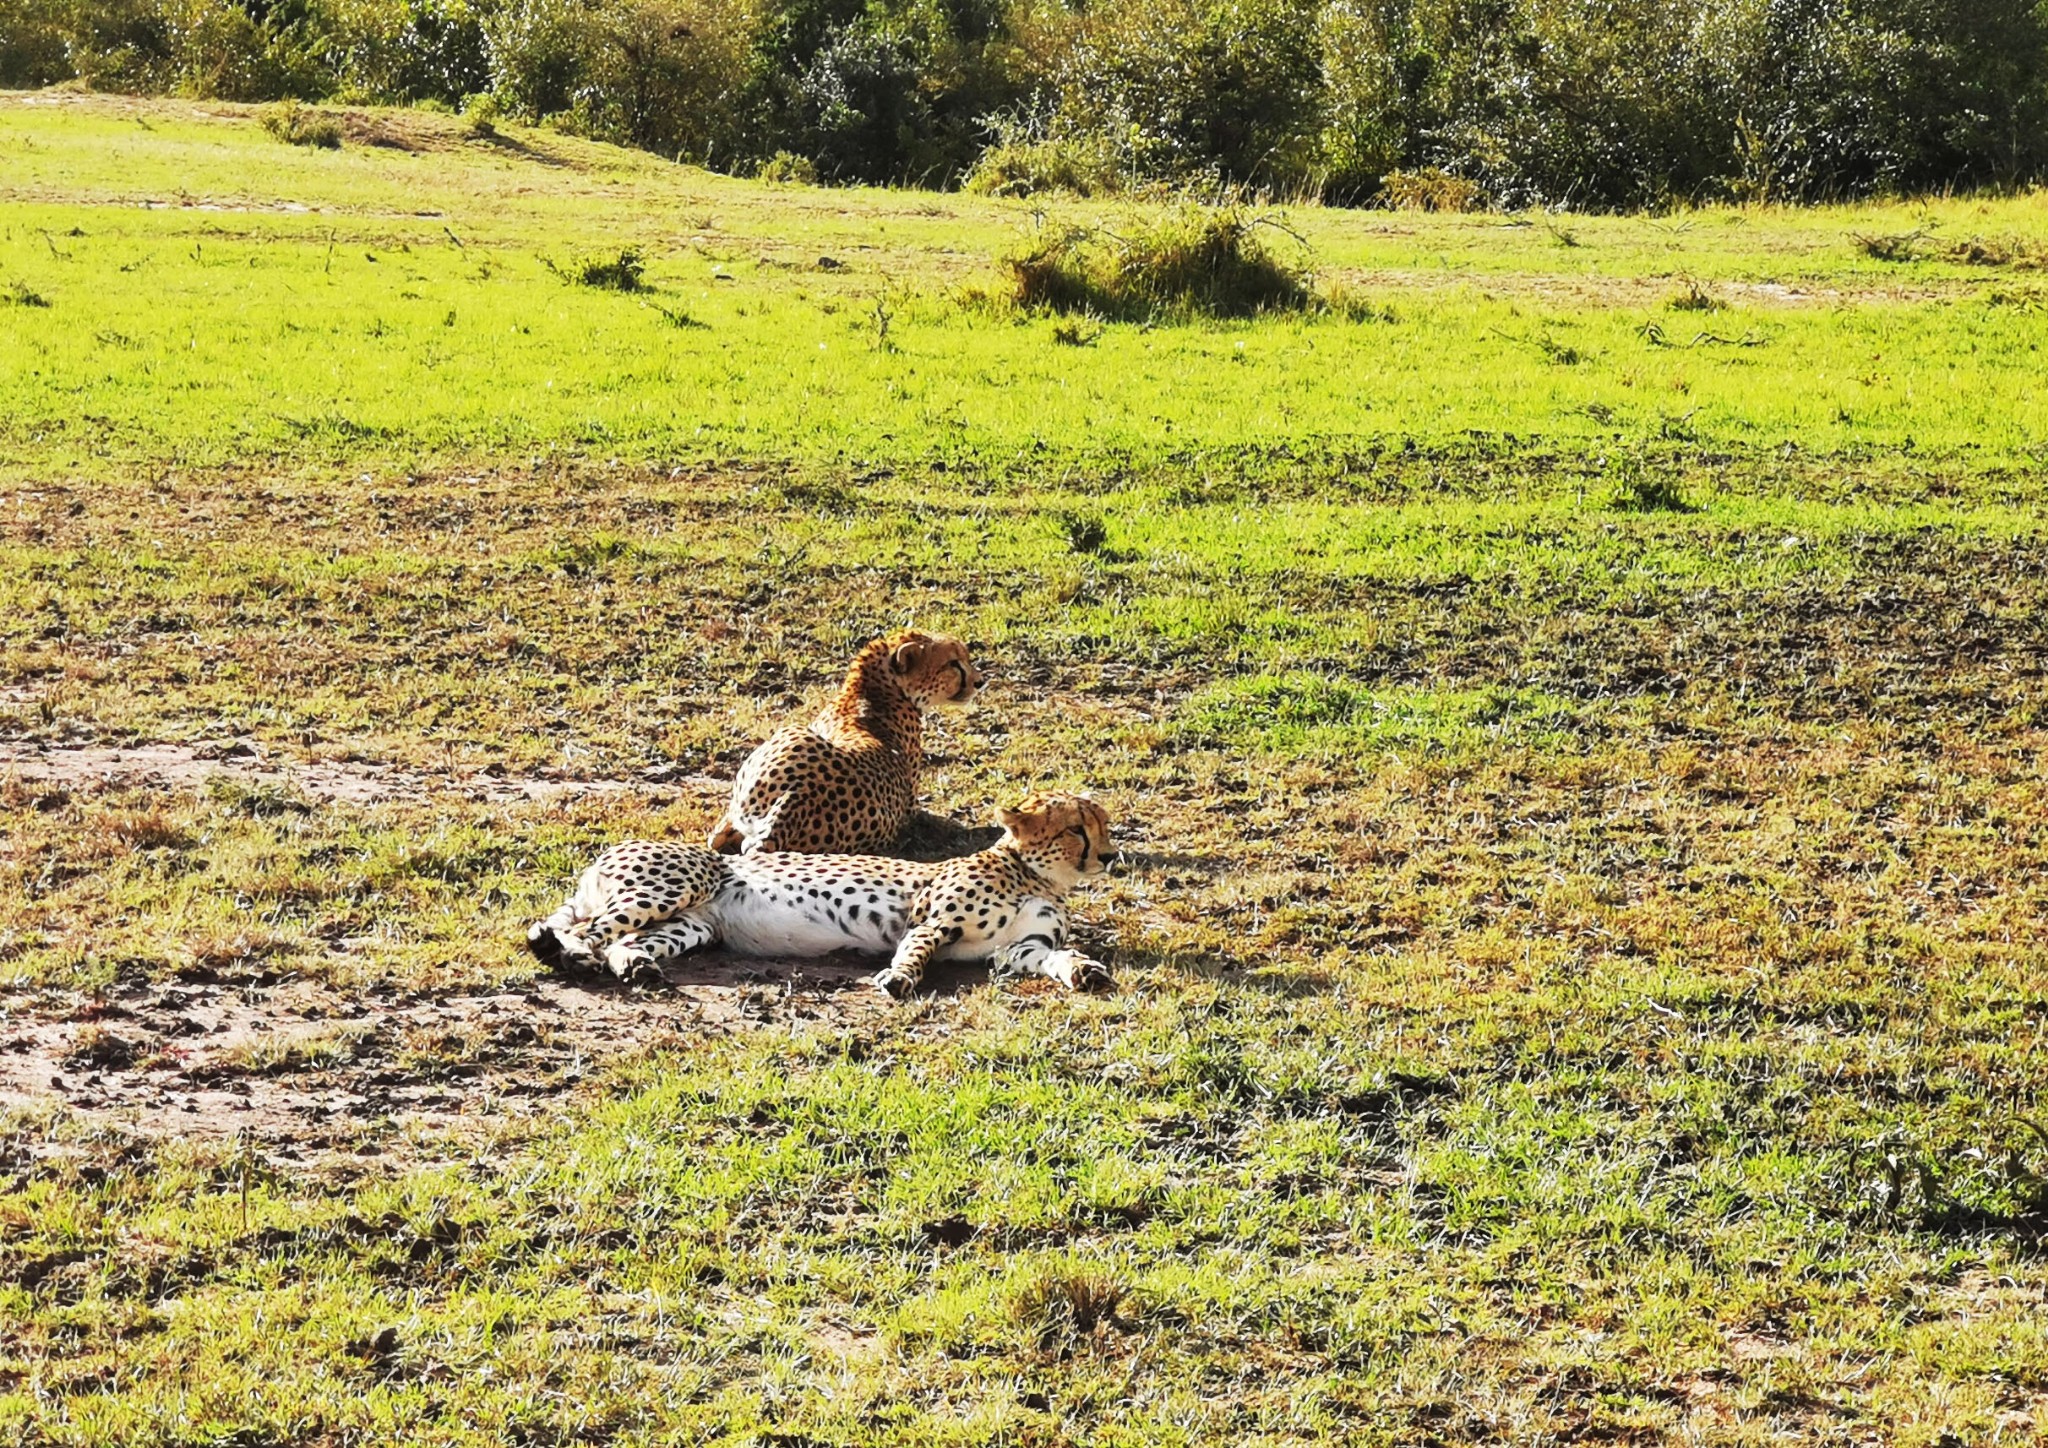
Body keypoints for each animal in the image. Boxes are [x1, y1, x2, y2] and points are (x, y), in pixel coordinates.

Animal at [520, 794, 1114, 995]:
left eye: (1103, 824)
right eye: (1076, 829)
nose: (1109, 856)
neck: (1036, 876)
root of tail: (608, 851)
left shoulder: (1019, 948)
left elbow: (1055, 956)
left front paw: (1083, 970)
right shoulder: (929, 921)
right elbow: (916, 951)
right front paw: (898, 979)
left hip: (692, 923)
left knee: (622, 942)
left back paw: (634, 967)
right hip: (677, 884)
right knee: (587, 930)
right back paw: (566, 954)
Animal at [708, 626, 987, 856]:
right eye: (954, 663)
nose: (979, 682)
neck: (872, 689)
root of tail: (798, 796)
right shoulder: (910, 809)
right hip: (789, 731)